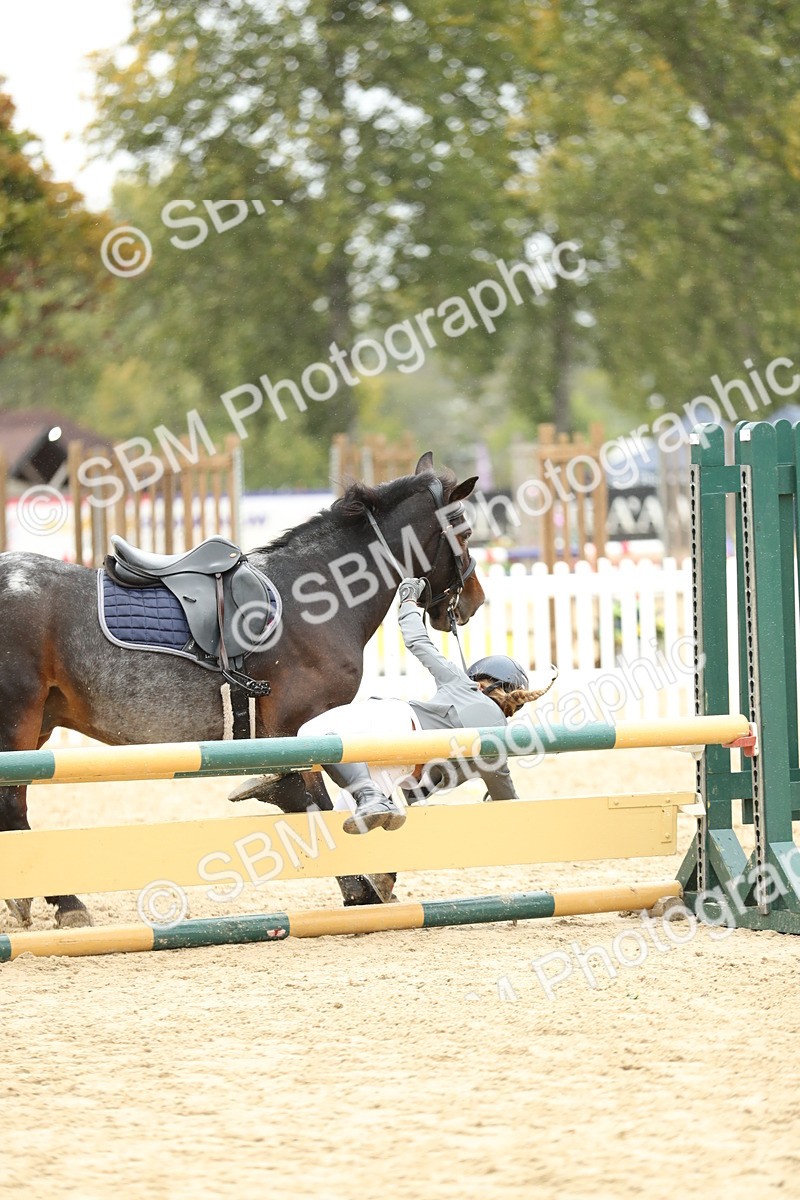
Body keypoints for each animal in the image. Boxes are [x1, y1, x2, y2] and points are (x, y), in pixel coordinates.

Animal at [0, 453, 484, 927]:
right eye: (464, 532)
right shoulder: (295, 727)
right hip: (19, 722)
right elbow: (312, 803)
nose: (475, 602)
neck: (321, 595)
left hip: (39, 724)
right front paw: (361, 888)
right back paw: (67, 903)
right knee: (13, 807)